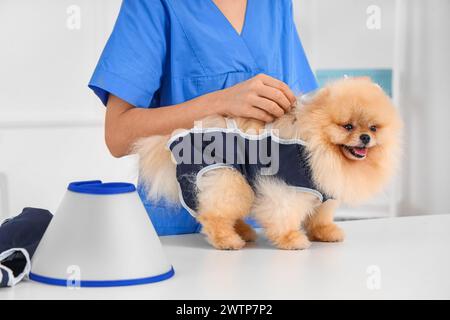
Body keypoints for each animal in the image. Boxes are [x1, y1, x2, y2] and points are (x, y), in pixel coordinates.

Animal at [134, 77, 400, 250]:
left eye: (373, 128)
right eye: (347, 126)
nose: (365, 137)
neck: (317, 147)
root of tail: (176, 141)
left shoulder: (324, 190)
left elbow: (321, 215)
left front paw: (325, 233)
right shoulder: (285, 188)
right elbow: (284, 215)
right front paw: (292, 240)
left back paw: (243, 232)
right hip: (226, 177)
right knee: (214, 214)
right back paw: (228, 240)